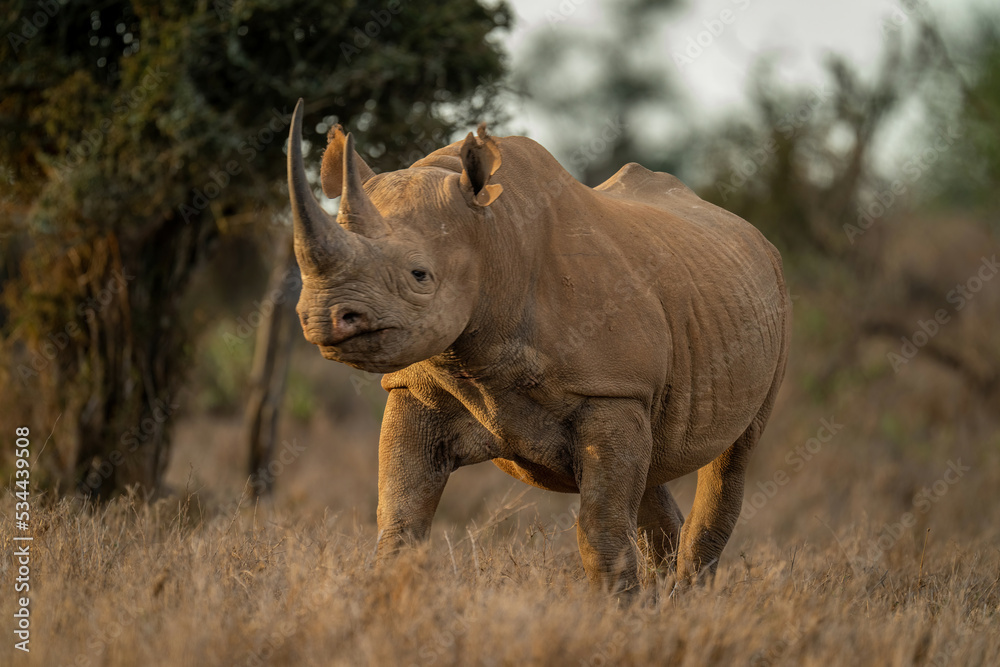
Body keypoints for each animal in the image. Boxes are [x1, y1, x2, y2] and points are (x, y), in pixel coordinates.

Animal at [286, 99, 790, 595]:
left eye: (419, 275)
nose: (325, 317)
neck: (492, 240)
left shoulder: (611, 390)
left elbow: (601, 530)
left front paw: (618, 614)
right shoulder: (415, 388)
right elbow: (401, 521)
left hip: (774, 299)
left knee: (732, 458)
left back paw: (692, 598)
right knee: (651, 467)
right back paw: (668, 599)